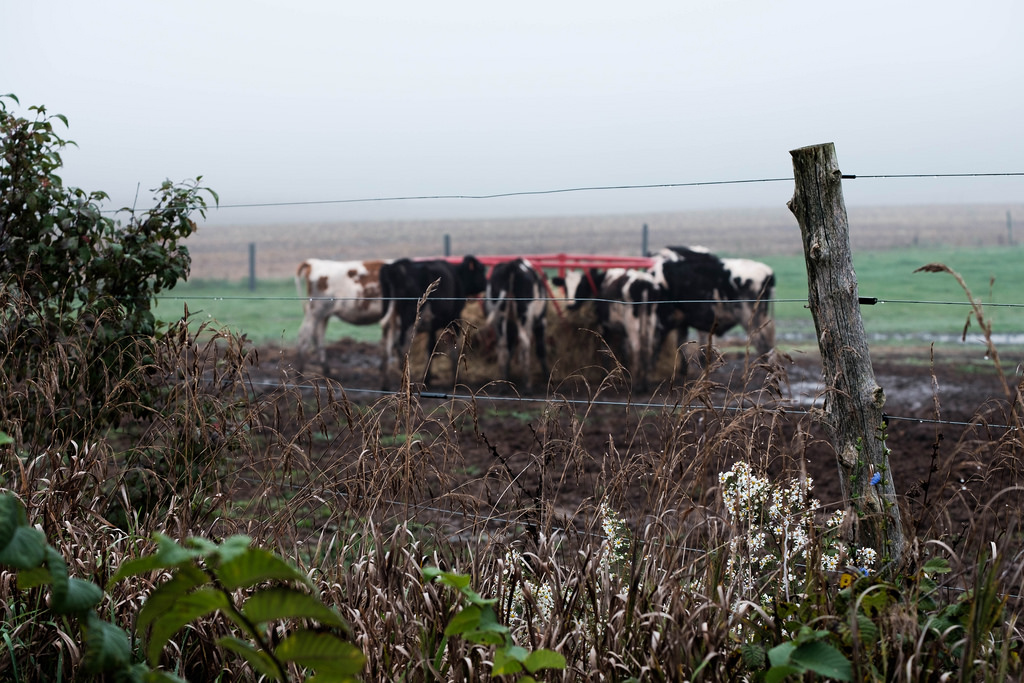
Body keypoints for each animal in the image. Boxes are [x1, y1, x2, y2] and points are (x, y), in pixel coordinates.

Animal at [380, 254, 487, 387]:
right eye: (481, 270)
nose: (486, 283)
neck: (458, 275)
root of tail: (394, 266)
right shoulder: (454, 317)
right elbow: (454, 347)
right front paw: (455, 378)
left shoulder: (432, 325)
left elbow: (430, 347)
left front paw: (428, 378)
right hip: (409, 318)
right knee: (402, 345)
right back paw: (407, 377)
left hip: (391, 314)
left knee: (386, 343)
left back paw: (385, 384)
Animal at [483, 259, 548, 393]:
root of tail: (512, 265)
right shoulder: (541, 322)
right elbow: (541, 349)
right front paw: (548, 376)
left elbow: (510, 348)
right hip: (524, 316)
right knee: (525, 343)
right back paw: (527, 385)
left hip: (499, 319)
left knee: (502, 346)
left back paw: (502, 385)